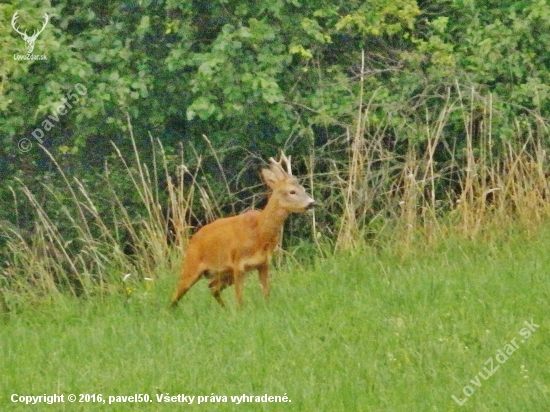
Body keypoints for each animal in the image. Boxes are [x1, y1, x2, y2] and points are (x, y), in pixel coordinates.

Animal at [170, 154, 314, 308]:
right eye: (292, 191)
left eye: (304, 189)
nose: (312, 203)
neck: (259, 232)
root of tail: (193, 238)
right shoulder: (238, 262)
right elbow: (239, 299)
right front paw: (240, 310)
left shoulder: (264, 263)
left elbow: (266, 294)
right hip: (192, 266)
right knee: (175, 296)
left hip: (225, 273)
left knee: (212, 286)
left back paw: (225, 308)